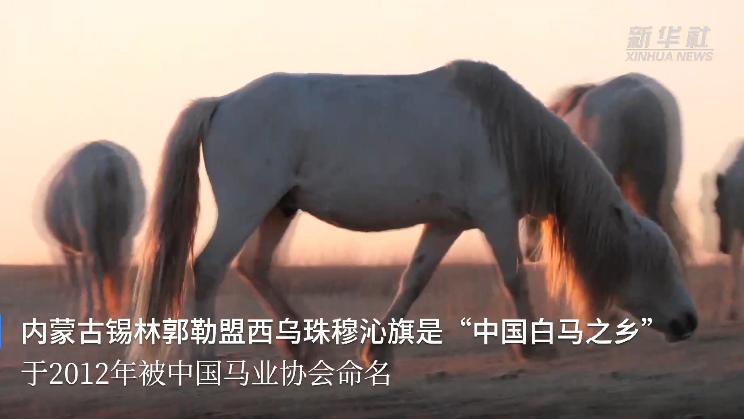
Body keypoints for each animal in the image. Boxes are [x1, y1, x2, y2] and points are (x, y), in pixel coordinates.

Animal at [42, 140, 146, 322]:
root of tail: (106, 159)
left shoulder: (69, 249)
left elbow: (76, 278)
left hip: (88, 231)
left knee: (94, 267)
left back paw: (98, 314)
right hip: (124, 236)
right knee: (120, 265)